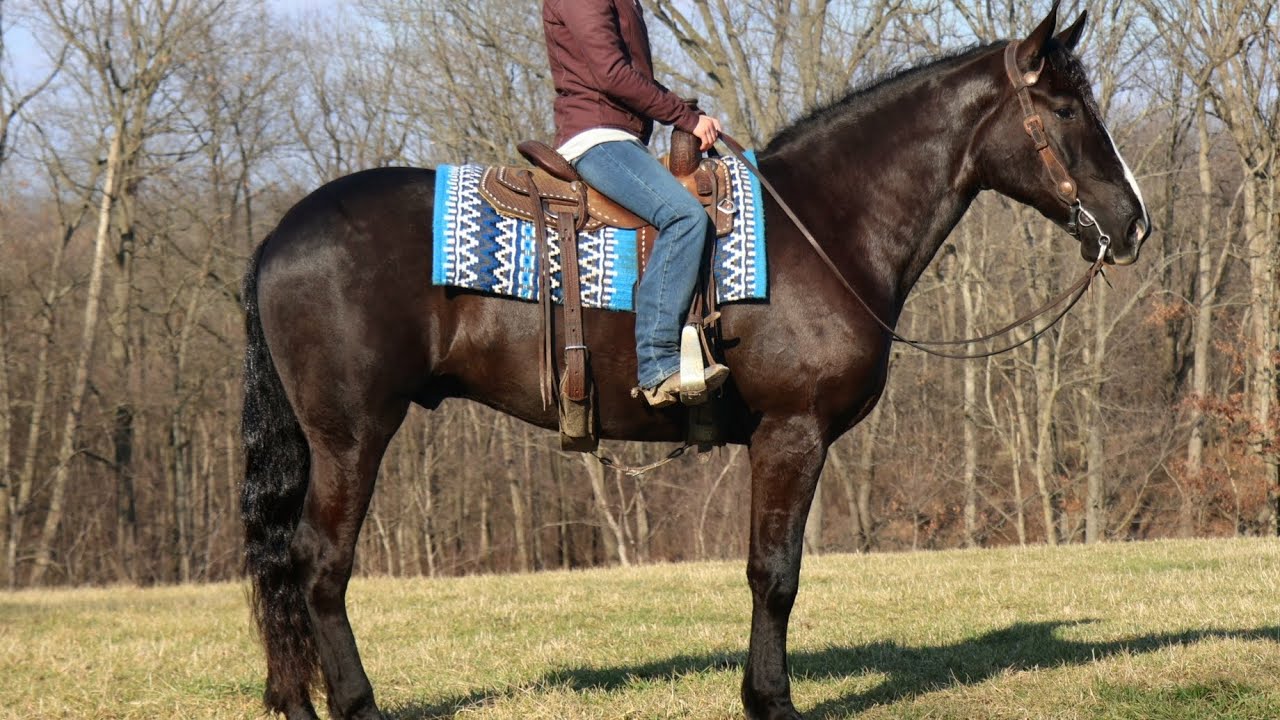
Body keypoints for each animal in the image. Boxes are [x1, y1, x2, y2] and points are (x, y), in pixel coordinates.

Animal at [240, 5, 1150, 719]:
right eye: (1065, 108)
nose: (1133, 223)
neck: (825, 225)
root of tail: (279, 235)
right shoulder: (791, 433)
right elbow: (773, 574)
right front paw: (771, 701)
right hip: (352, 434)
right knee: (320, 565)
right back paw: (355, 703)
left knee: (284, 566)